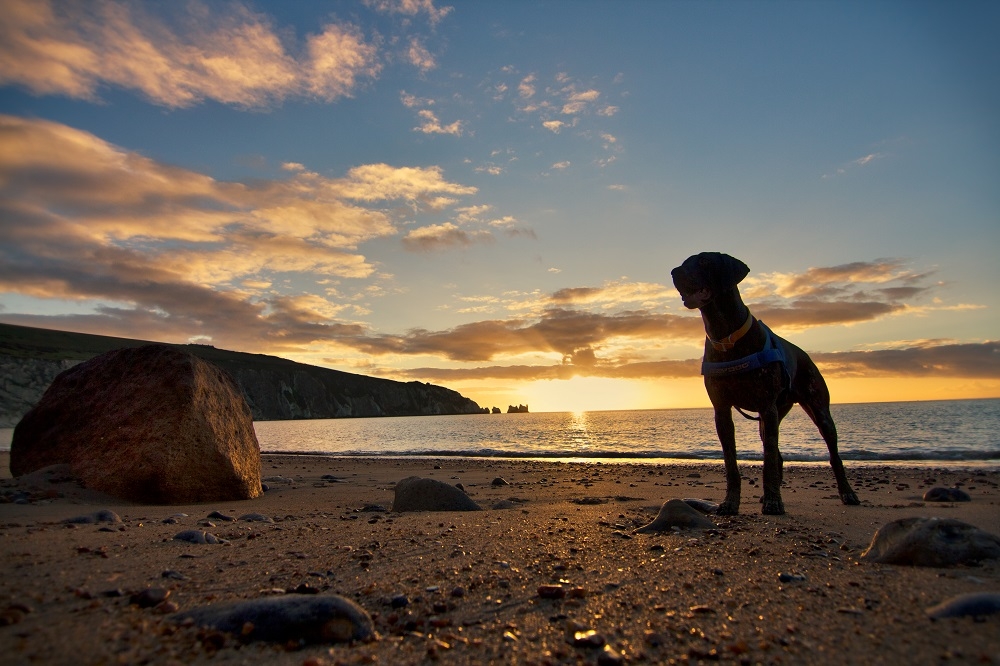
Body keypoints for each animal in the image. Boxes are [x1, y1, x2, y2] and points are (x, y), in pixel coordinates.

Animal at [672, 250, 860, 512]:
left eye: (704, 261)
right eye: (684, 262)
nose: (674, 272)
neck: (727, 336)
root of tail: (805, 355)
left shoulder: (767, 405)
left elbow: (768, 458)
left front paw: (773, 502)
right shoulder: (722, 409)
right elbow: (731, 461)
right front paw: (731, 502)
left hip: (815, 407)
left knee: (832, 453)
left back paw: (847, 492)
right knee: (778, 453)